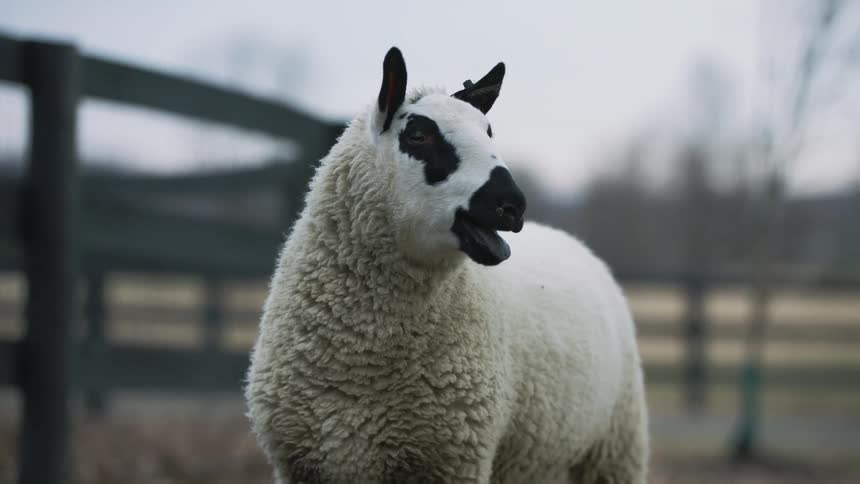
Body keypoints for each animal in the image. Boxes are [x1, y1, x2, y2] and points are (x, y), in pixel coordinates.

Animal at [245, 47, 649, 484]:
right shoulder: (303, 463)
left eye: (489, 131)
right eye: (418, 135)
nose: (513, 204)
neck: (362, 363)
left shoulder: (452, 459)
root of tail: (567, 237)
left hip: (613, 450)